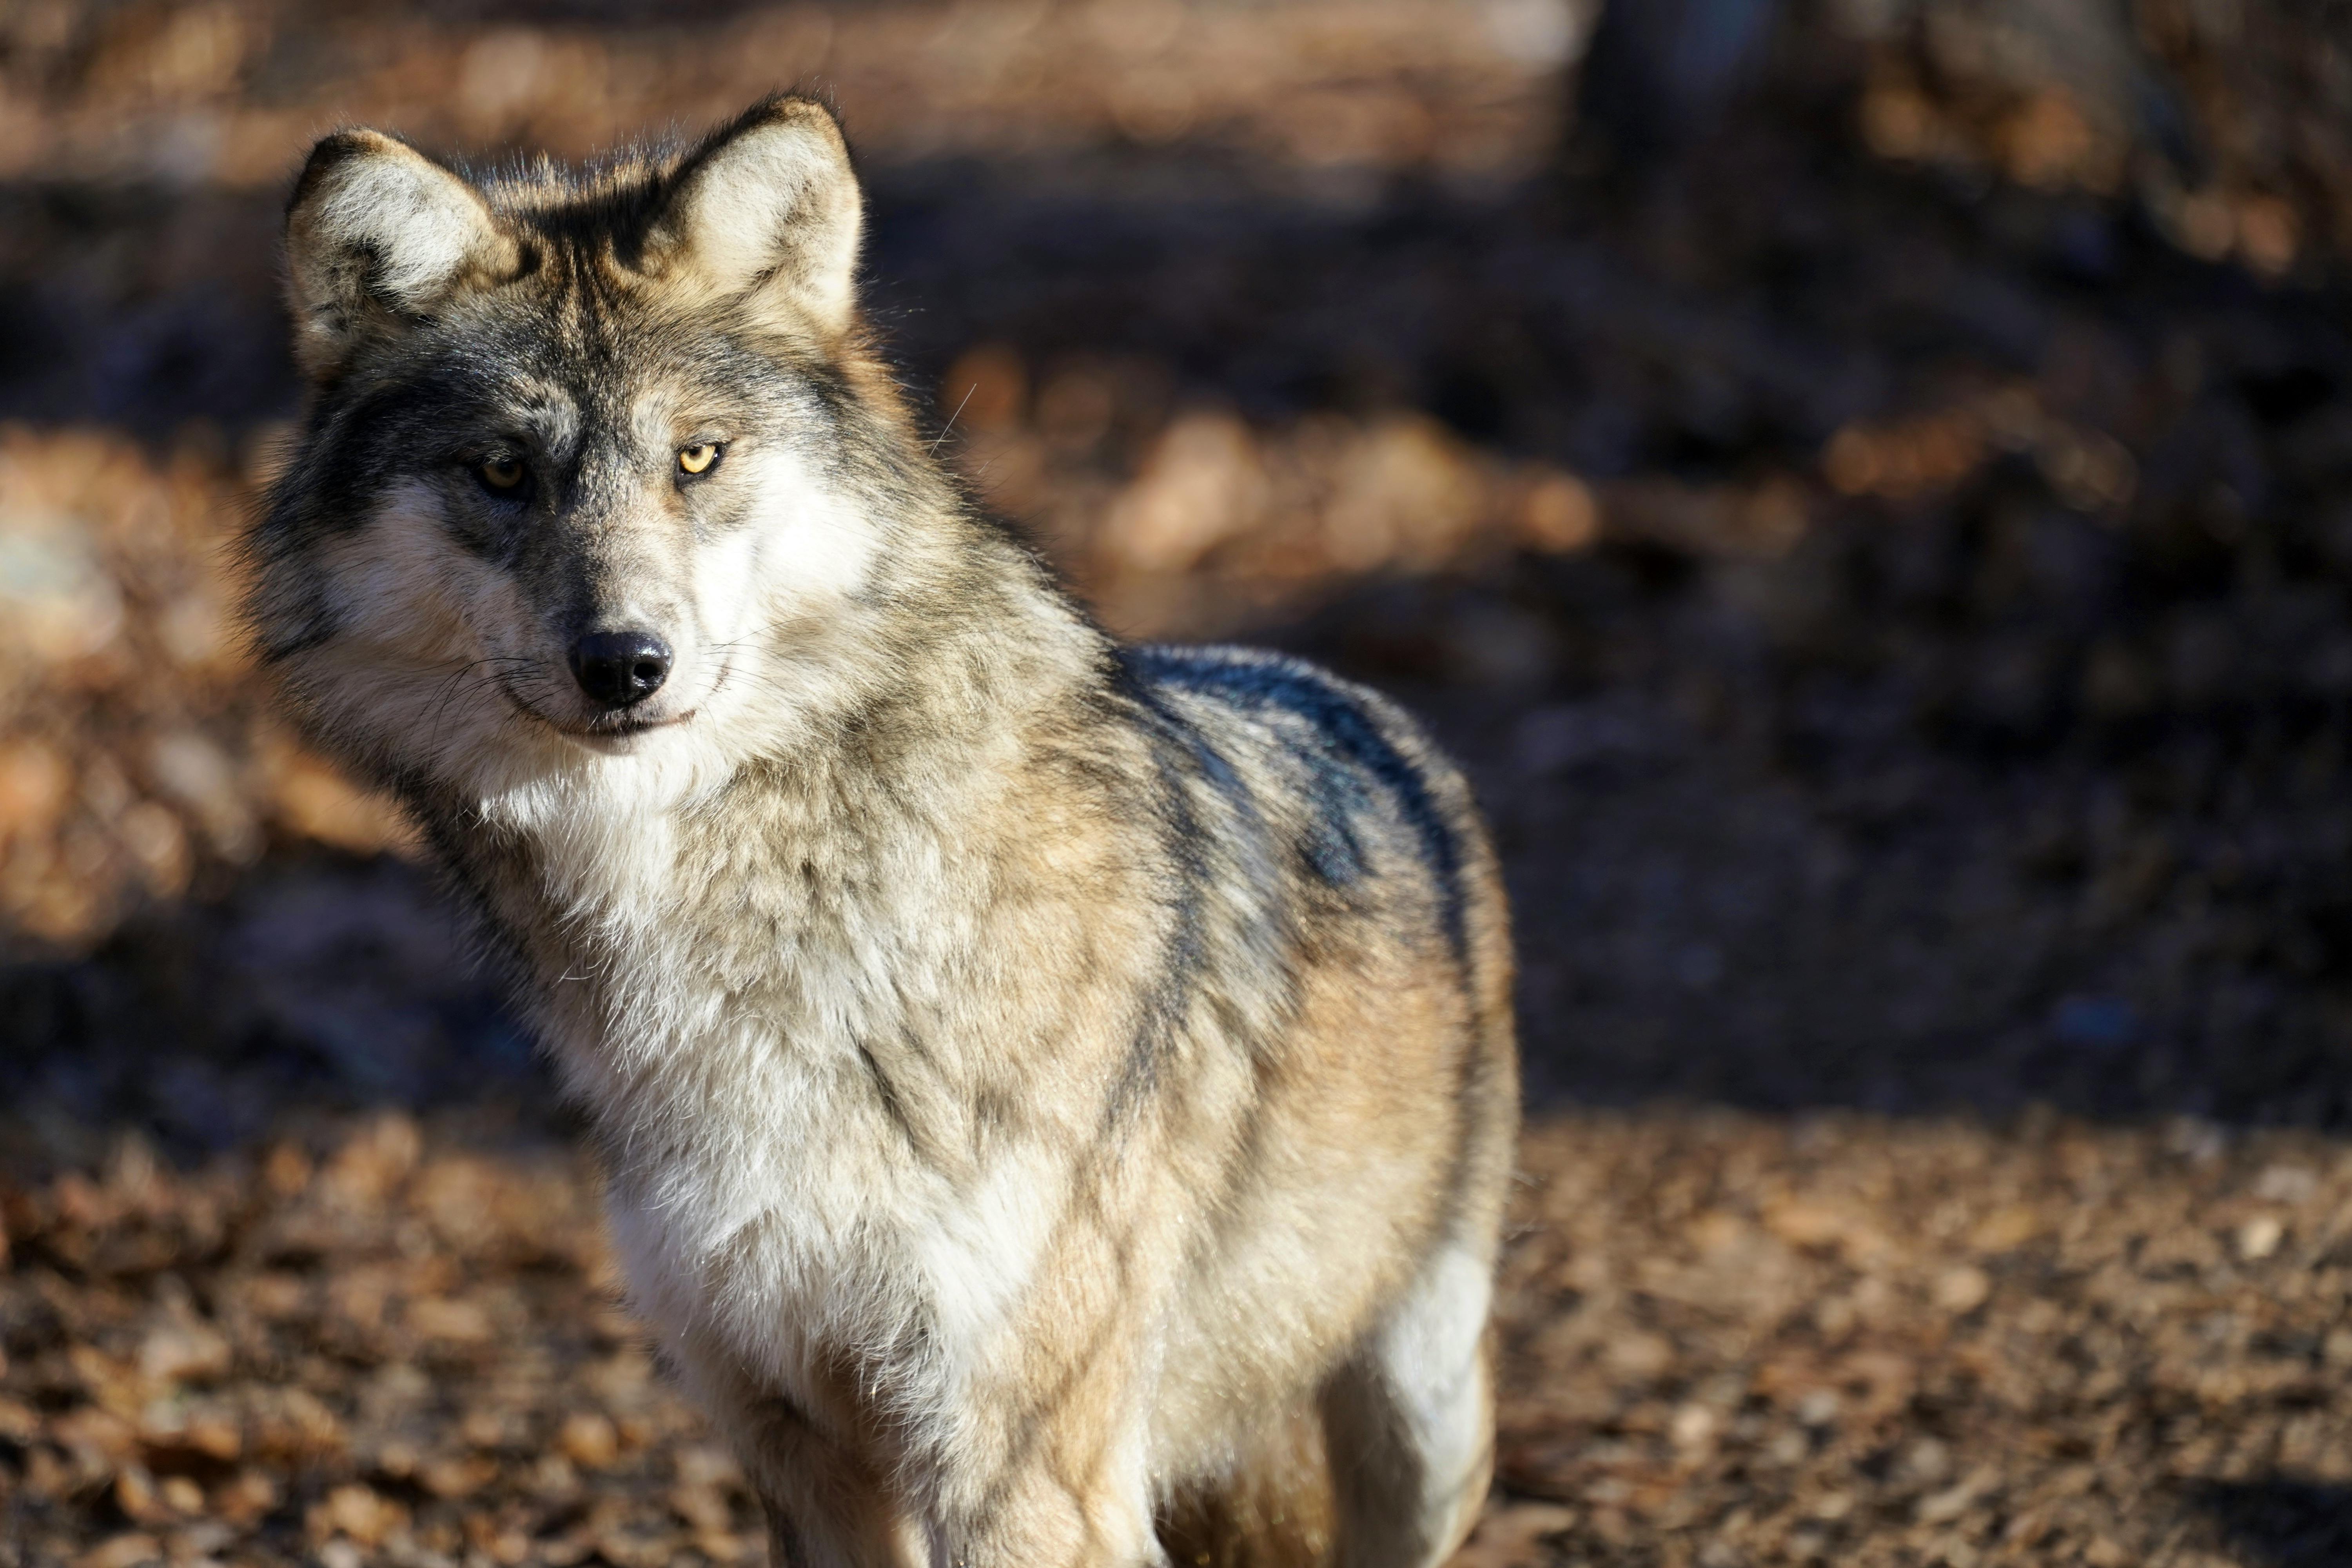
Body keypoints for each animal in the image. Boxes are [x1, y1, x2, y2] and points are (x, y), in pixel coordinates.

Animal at [246, 97, 1519, 1568]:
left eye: (697, 457)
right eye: (503, 471)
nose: (622, 663)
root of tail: (1352, 695)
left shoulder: (1022, 1469)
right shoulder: (788, 1431)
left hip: (1422, 1422)